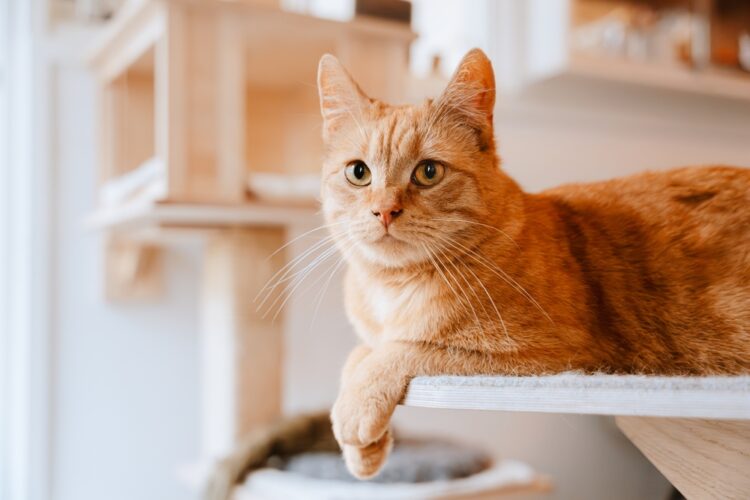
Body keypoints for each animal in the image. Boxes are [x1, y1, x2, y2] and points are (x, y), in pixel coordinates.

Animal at [318, 48, 750, 478]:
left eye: (428, 172)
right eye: (359, 172)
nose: (384, 211)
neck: (392, 288)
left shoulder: (547, 358)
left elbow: (406, 348)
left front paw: (356, 409)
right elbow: (359, 353)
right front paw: (361, 449)